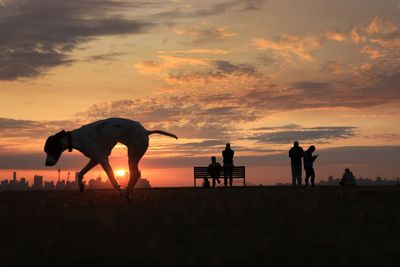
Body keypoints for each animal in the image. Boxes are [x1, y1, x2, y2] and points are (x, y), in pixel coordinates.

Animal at [43, 118, 177, 194]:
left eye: (48, 149)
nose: (46, 164)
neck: (75, 138)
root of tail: (146, 131)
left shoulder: (102, 159)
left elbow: (112, 176)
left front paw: (119, 189)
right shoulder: (95, 159)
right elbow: (80, 173)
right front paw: (81, 187)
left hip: (132, 156)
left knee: (135, 173)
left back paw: (126, 191)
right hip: (134, 156)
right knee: (137, 173)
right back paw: (129, 190)